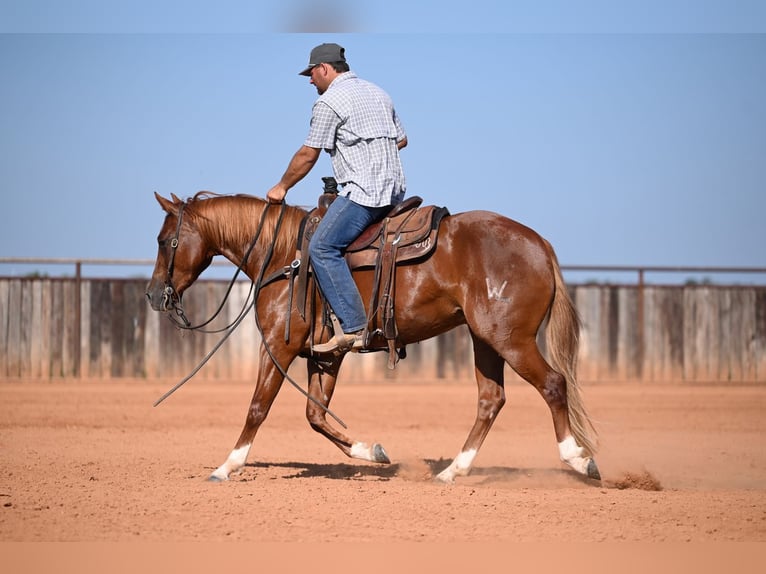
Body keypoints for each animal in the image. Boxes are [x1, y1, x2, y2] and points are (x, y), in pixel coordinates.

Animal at [145, 191, 601, 483]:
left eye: (165, 240)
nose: (152, 294)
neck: (284, 257)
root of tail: (540, 245)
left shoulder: (277, 346)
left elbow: (258, 407)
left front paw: (227, 466)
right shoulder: (324, 356)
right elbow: (315, 416)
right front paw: (373, 452)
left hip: (510, 339)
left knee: (553, 384)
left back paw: (579, 461)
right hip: (484, 340)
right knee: (491, 400)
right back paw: (453, 471)